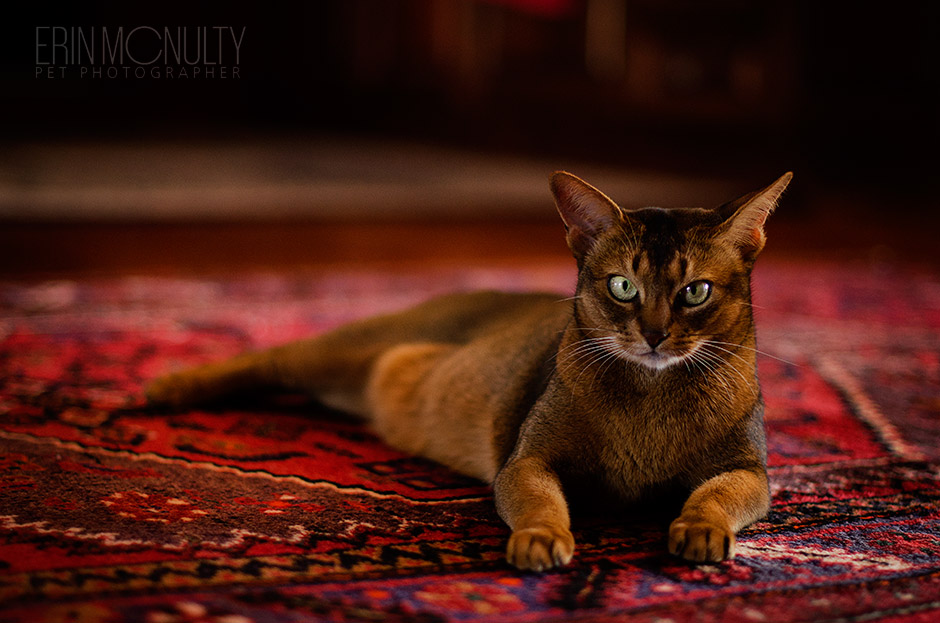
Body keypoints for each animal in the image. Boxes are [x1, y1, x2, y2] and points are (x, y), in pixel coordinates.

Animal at [149, 169, 792, 572]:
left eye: (695, 292)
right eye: (623, 286)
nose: (655, 335)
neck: (651, 396)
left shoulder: (751, 471)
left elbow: (718, 495)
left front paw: (702, 529)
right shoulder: (526, 458)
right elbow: (539, 500)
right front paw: (541, 538)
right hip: (352, 349)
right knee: (272, 357)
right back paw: (167, 387)